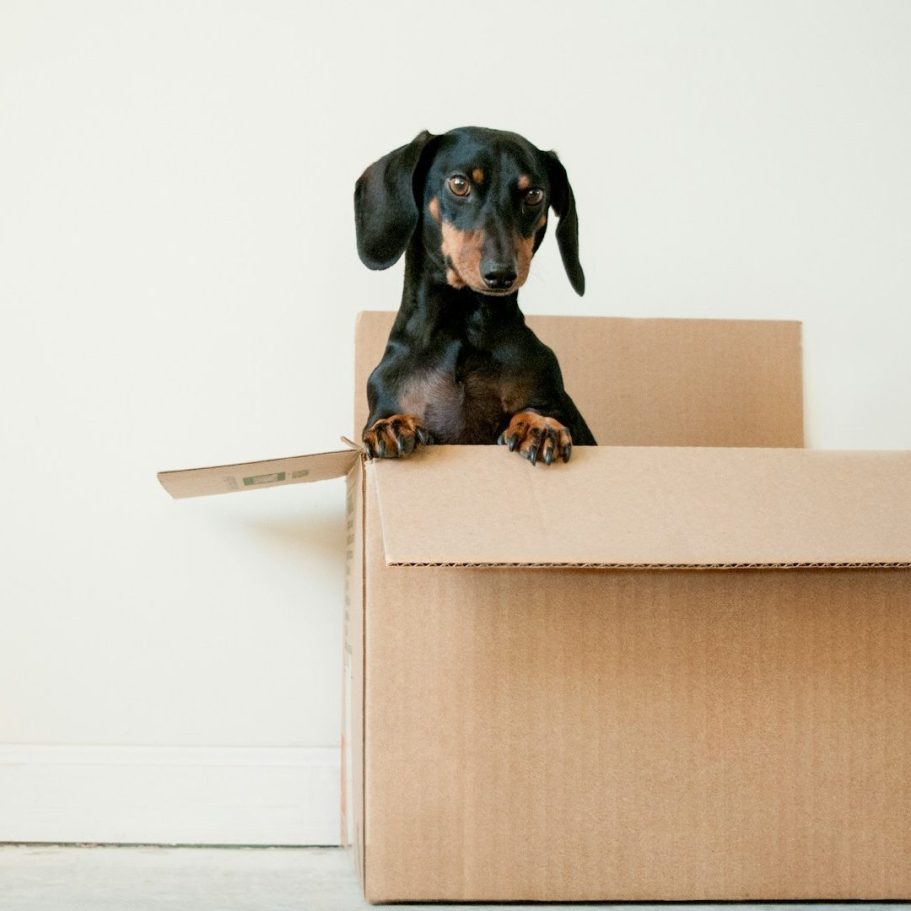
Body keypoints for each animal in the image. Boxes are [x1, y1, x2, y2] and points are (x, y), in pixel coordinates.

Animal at [354, 126, 596, 466]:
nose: (501, 274)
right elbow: (386, 418)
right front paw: (392, 425)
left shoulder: (554, 399)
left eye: (534, 195)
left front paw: (538, 425)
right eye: (459, 184)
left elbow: (538, 410)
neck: (463, 326)